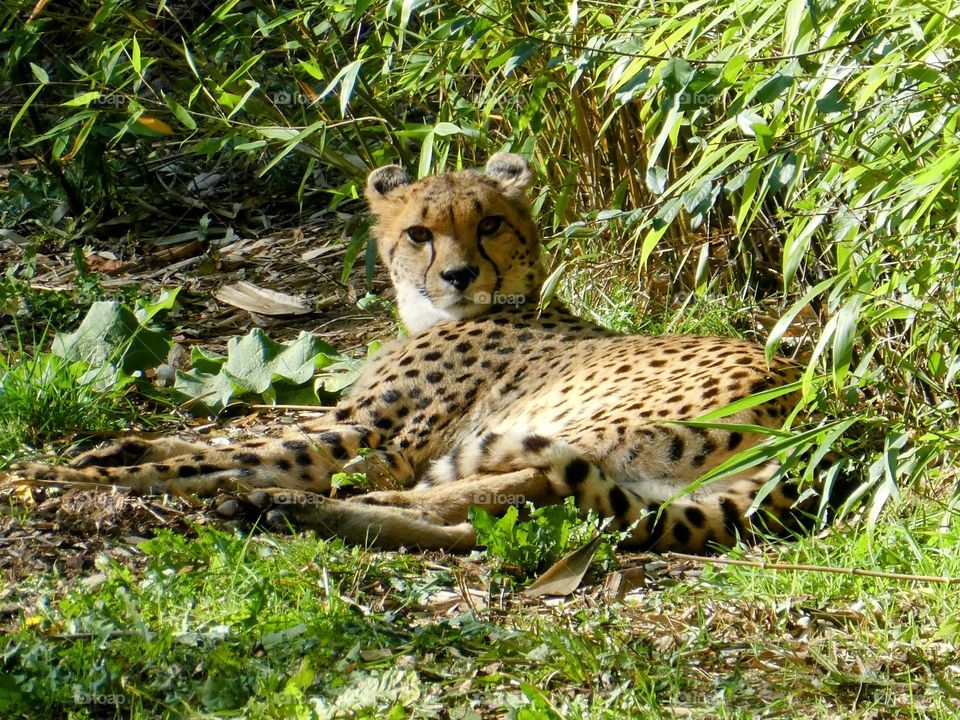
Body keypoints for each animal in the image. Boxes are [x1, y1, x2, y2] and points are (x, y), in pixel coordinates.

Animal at [7, 155, 832, 552]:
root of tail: (819, 421)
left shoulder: (370, 436)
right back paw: (308, 513)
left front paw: (51, 476)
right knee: (522, 516)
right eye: (418, 232)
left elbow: (221, 456)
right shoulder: (353, 424)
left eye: (490, 223)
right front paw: (110, 448)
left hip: (575, 421)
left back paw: (292, 505)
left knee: (525, 483)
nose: (460, 274)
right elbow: (212, 440)